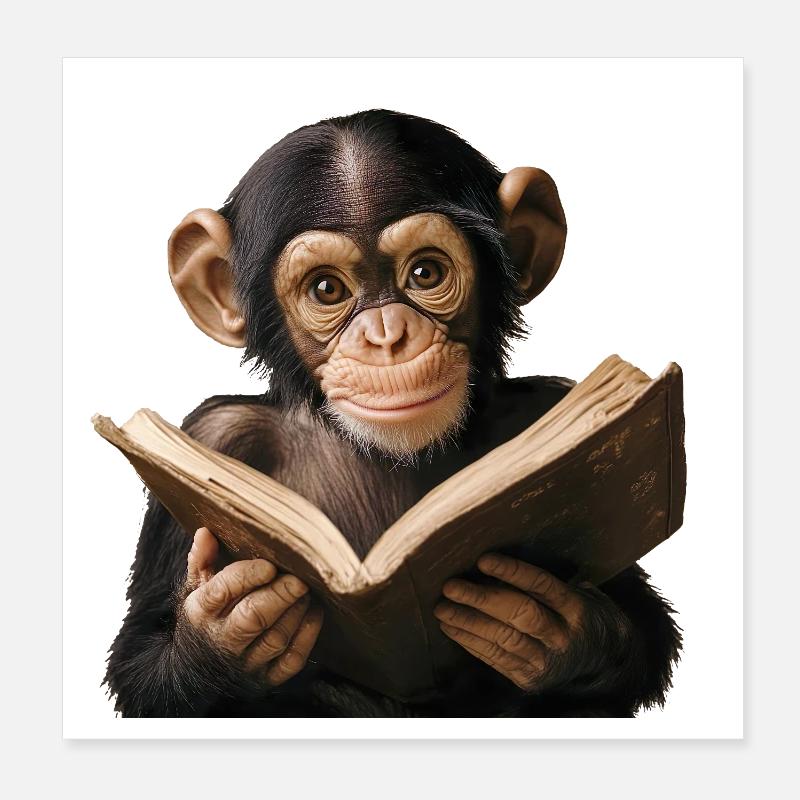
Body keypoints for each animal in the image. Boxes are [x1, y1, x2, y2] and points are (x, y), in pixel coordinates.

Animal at [104, 110, 682, 717]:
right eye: (327, 288)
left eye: (426, 273)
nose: (387, 336)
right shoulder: (214, 438)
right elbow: (141, 661)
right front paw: (228, 629)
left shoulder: (551, 410)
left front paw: (549, 624)